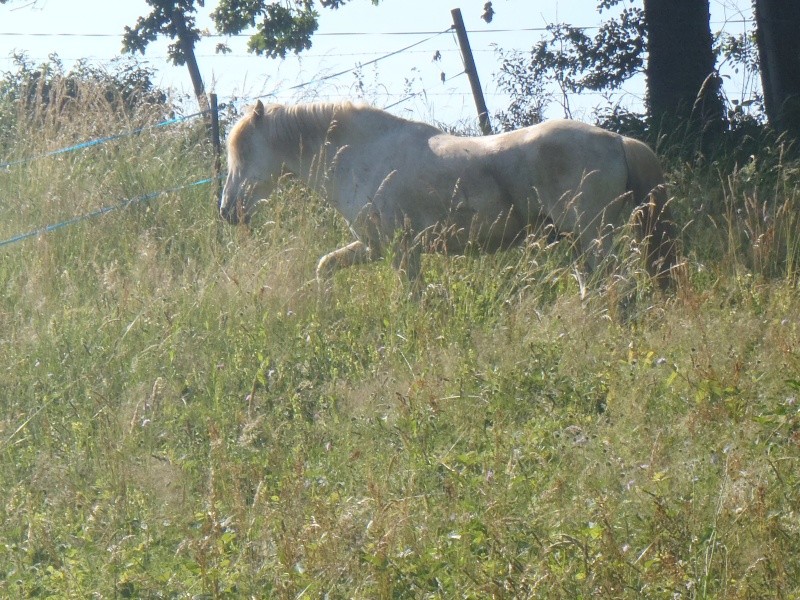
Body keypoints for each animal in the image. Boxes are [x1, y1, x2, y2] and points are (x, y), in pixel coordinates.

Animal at [220, 101, 676, 288]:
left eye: (243, 151)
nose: (227, 210)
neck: (364, 155)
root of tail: (616, 139)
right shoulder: (375, 247)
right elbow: (325, 266)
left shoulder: (402, 251)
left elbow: (413, 299)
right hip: (581, 242)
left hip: (593, 236)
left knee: (619, 286)